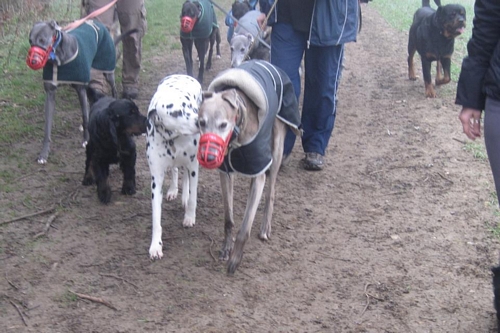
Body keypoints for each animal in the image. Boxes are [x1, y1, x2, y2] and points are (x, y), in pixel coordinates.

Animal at [146, 74, 202, 260]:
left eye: (190, 106)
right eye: (175, 112)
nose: (200, 121)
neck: (173, 138)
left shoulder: (194, 165)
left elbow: (193, 198)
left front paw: (189, 217)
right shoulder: (156, 179)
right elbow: (156, 219)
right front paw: (155, 245)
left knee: (185, 175)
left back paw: (184, 196)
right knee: (175, 169)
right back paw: (172, 190)